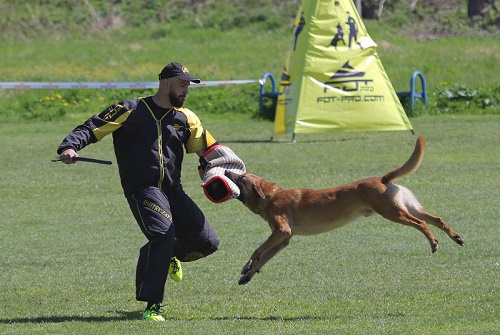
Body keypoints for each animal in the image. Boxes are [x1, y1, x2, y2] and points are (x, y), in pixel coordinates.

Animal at [225, 136, 462, 286]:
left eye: (241, 177)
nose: (226, 171)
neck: (271, 196)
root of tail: (383, 179)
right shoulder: (283, 239)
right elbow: (262, 257)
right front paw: (247, 274)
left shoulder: (281, 231)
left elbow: (257, 251)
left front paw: (247, 266)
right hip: (407, 207)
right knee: (435, 218)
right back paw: (456, 237)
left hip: (393, 212)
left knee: (421, 224)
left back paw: (434, 243)